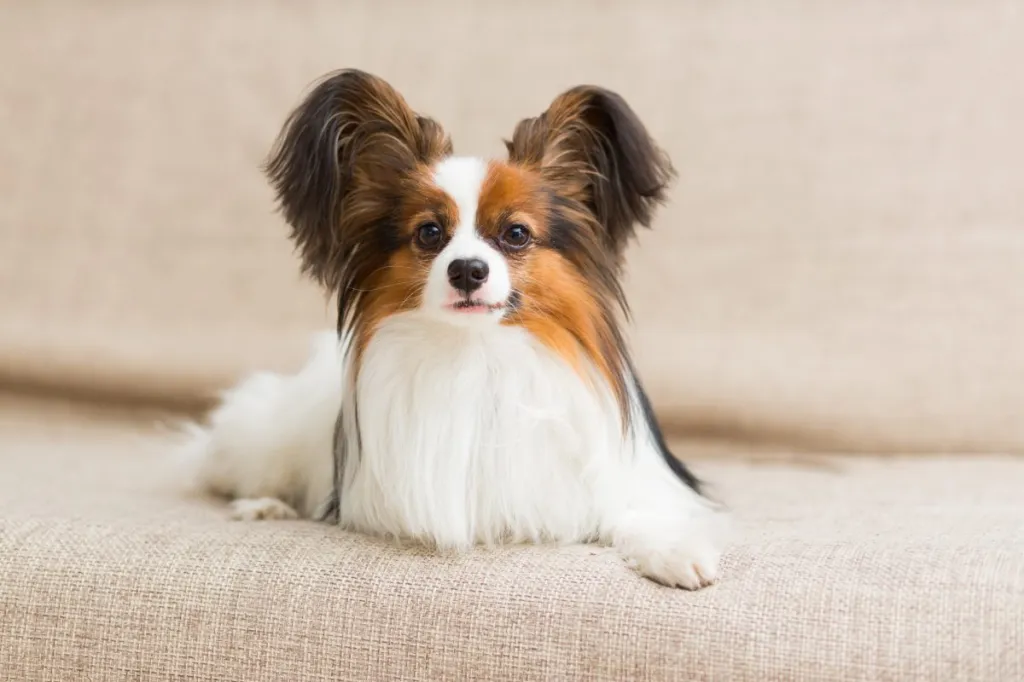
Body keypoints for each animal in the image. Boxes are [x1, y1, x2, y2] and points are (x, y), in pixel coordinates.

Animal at [186, 70, 729, 589]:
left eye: (516, 234)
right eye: (429, 233)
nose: (467, 269)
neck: (478, 352)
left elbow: (636, 514)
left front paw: (674, 552)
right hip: (266, 440)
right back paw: (264, 505)